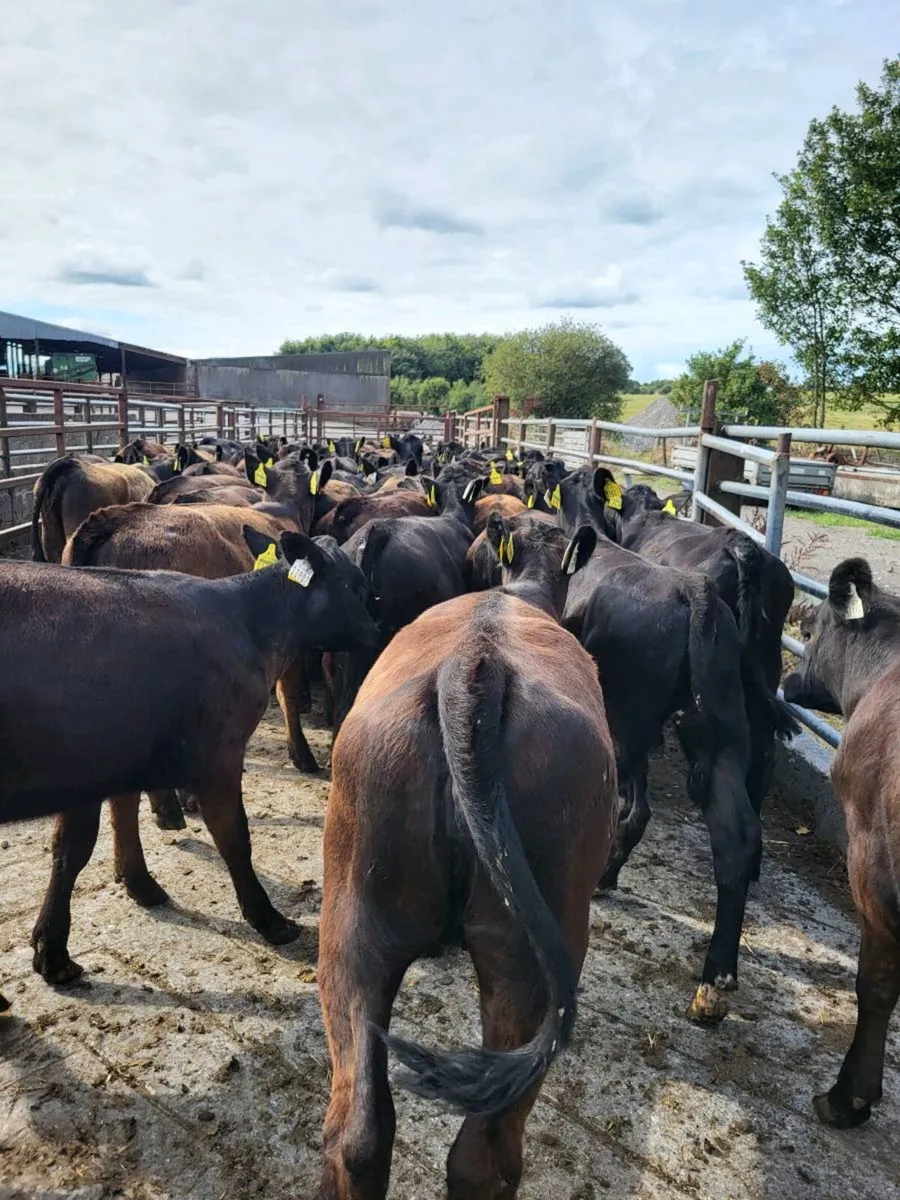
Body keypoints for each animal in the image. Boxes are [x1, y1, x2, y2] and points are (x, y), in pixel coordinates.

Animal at [0, 533, 380, 1007]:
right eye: (357, 586)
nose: (377, 631)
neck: (248, 624)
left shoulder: (103, 765)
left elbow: (77, 846)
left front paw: (56, 944)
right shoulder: (217, 758)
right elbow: (234, 838)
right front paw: (268, 919)